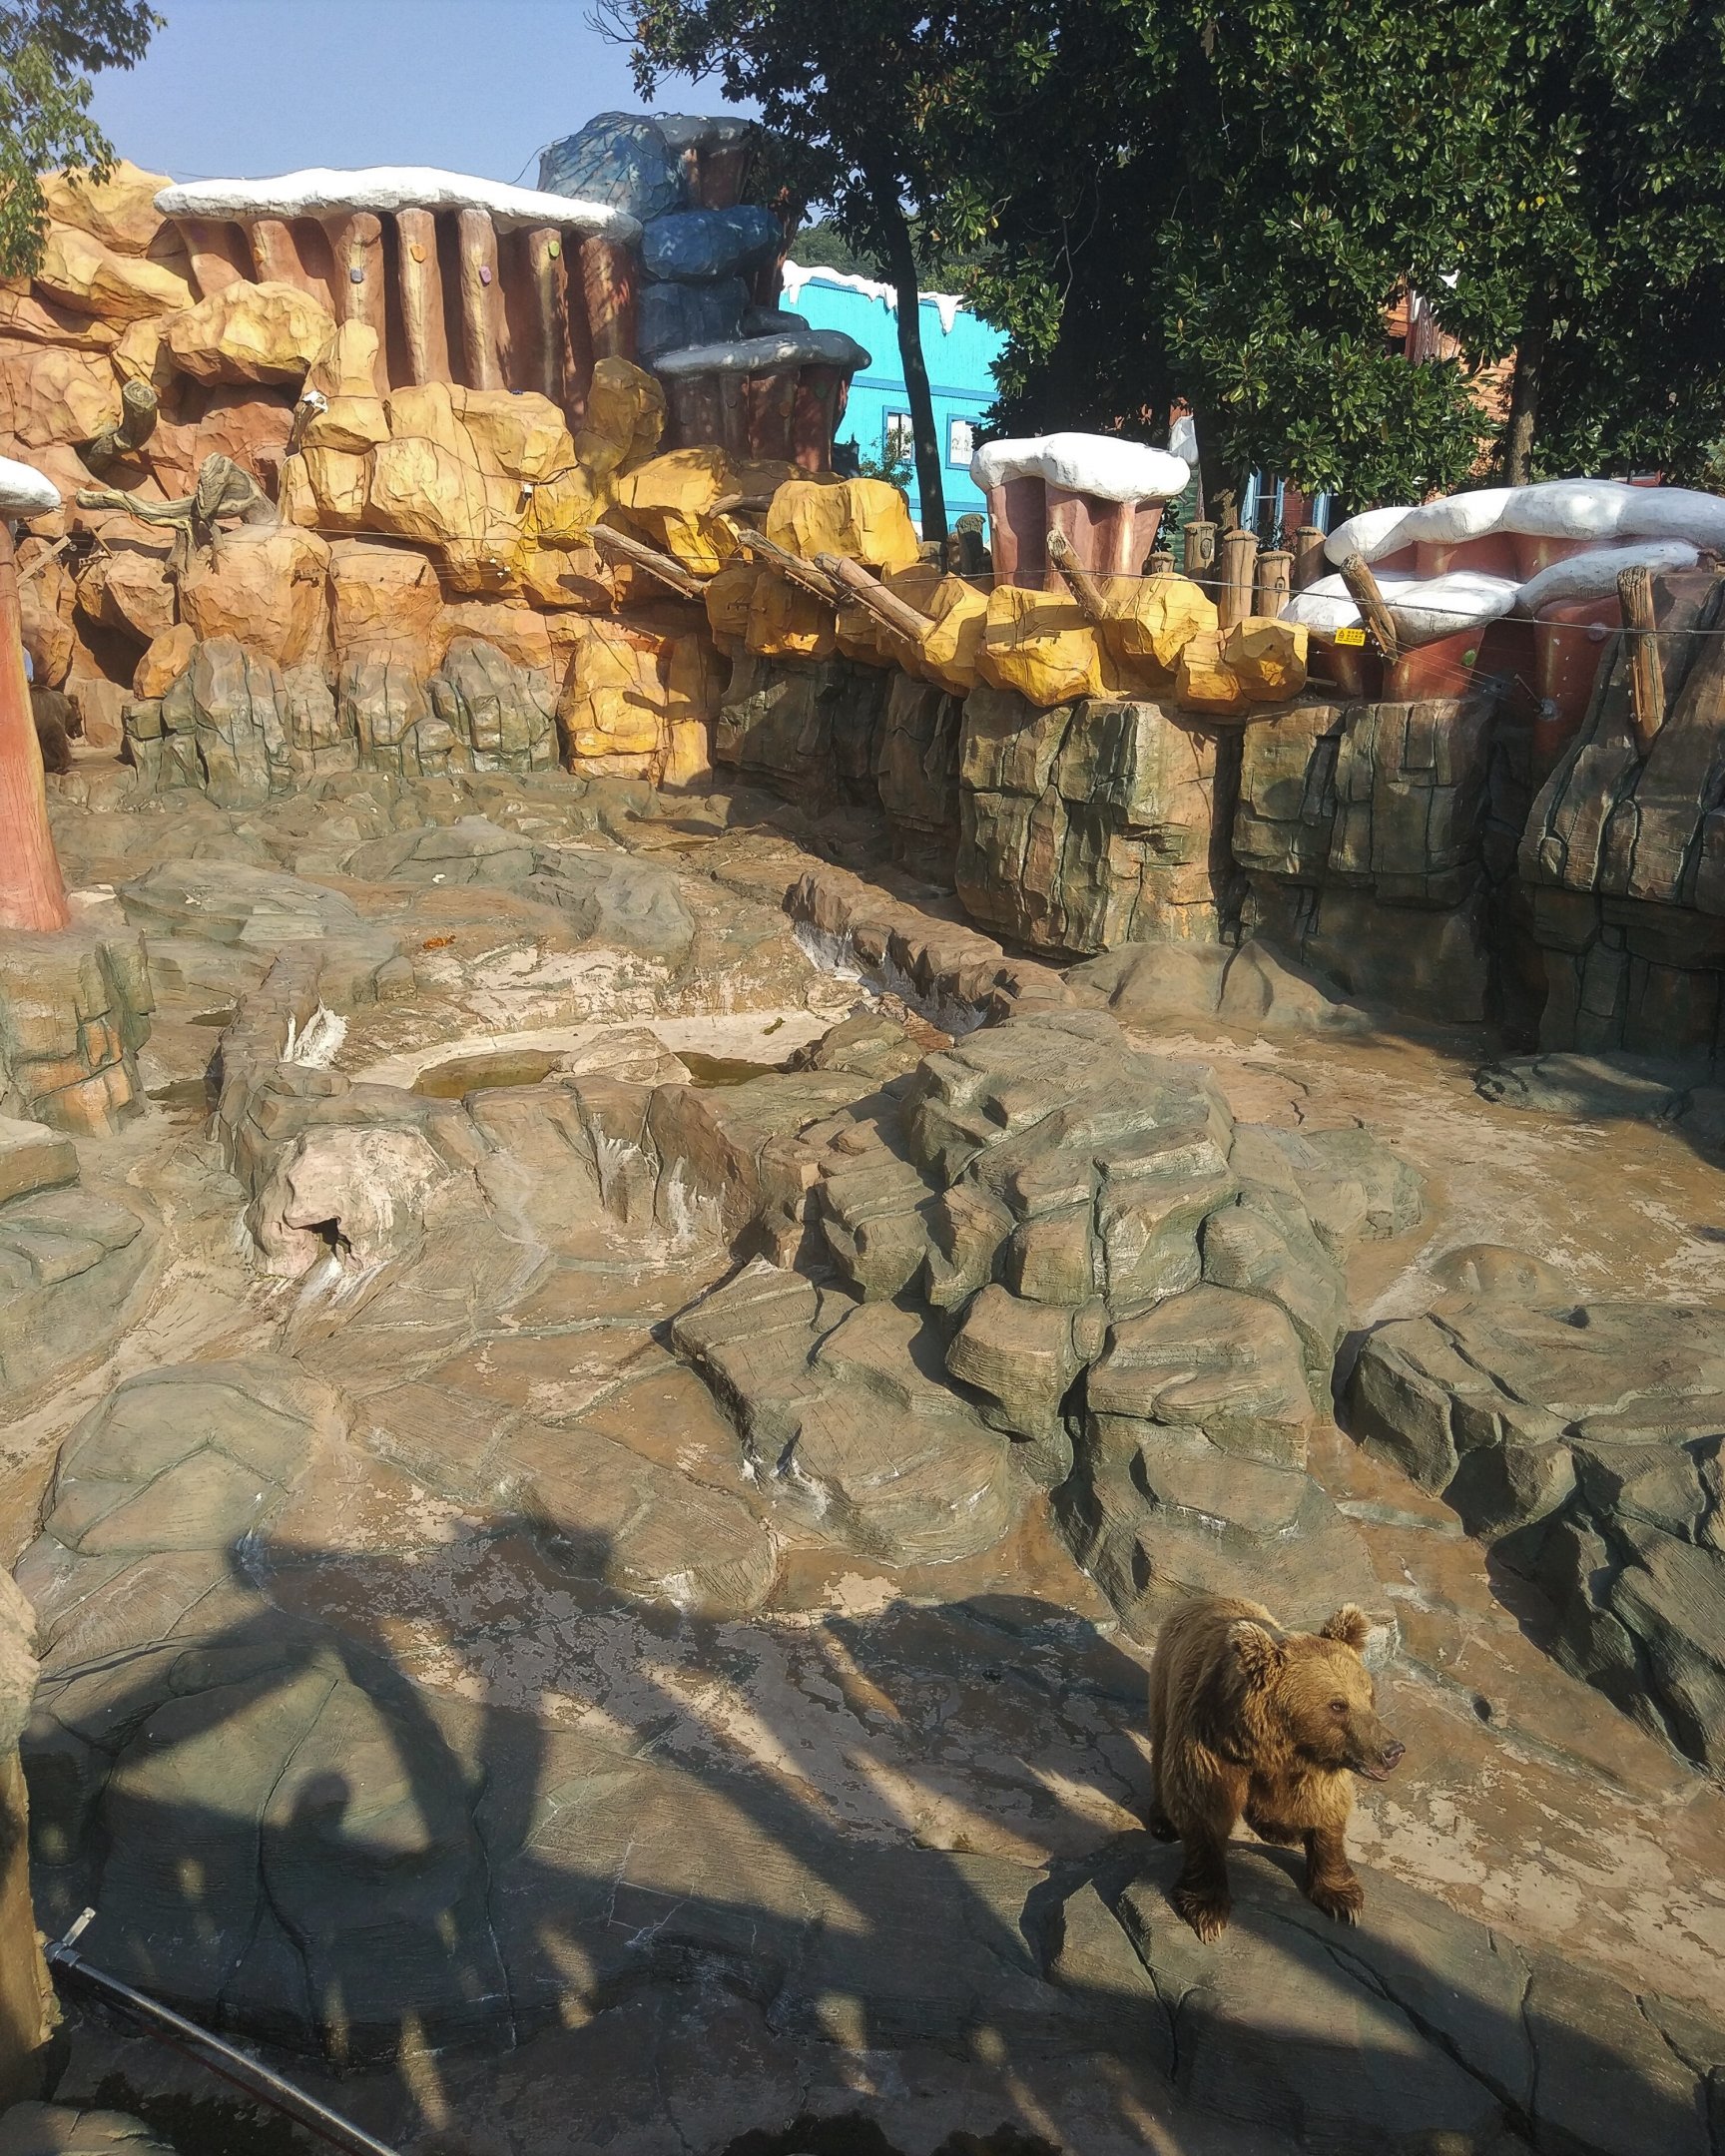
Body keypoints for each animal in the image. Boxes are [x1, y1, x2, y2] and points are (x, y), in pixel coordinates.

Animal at [1145, 1593, 1404, 1942]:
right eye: (1338, 1705)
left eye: (1369, 1695)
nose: (1392, 1751)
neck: (1277, 1744)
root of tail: (1203, 1597)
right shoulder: (1212, 1742)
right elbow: (1204, 1805)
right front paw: (1207, 1911)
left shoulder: (1315, 1766)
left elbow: (1325, 1808)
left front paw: (1342, 1898)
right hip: (1166, 1679)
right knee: (1161, 1747)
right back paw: (1163, 1821)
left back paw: (1278, 1829)